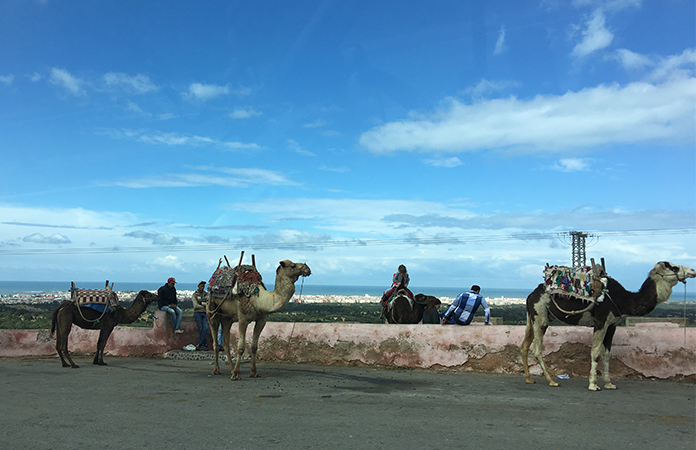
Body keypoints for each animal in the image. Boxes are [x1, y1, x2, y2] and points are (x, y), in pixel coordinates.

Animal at [520, 260, 696, 390]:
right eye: (674, 266)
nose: (693, 270)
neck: (622, 300)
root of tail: (530, 295)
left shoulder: (612, 325)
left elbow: (606, 354)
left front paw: (609, 383)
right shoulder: (601, 322)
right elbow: (595, 353)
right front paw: (593, 385)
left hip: (533, 317)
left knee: (525, 345)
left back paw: (529, 379)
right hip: (540, 316)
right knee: (537, 349)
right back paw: (552, 380)